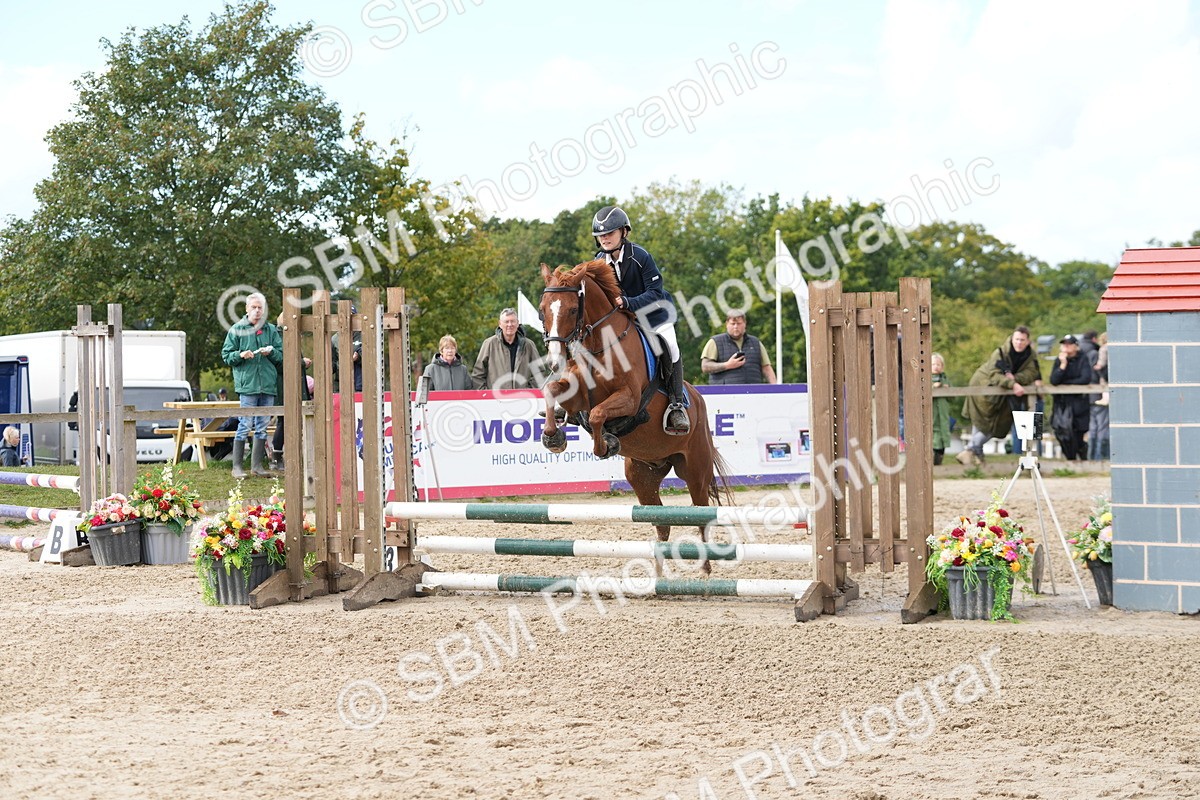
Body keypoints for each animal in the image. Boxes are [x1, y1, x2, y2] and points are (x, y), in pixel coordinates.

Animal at [537, 260, 733, 573]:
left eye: (572, 309)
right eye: (543, 308)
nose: (555, 360)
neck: (600, 346)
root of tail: (699, 399)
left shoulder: (629, 399)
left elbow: (597, 415)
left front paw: (606, 444)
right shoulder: (578, 394)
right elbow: (552, 390)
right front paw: (553, 437)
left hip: (695, 470)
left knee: (702, 516)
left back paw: (704, 571)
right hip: (643, 475)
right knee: (662, 523)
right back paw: (658, 575)